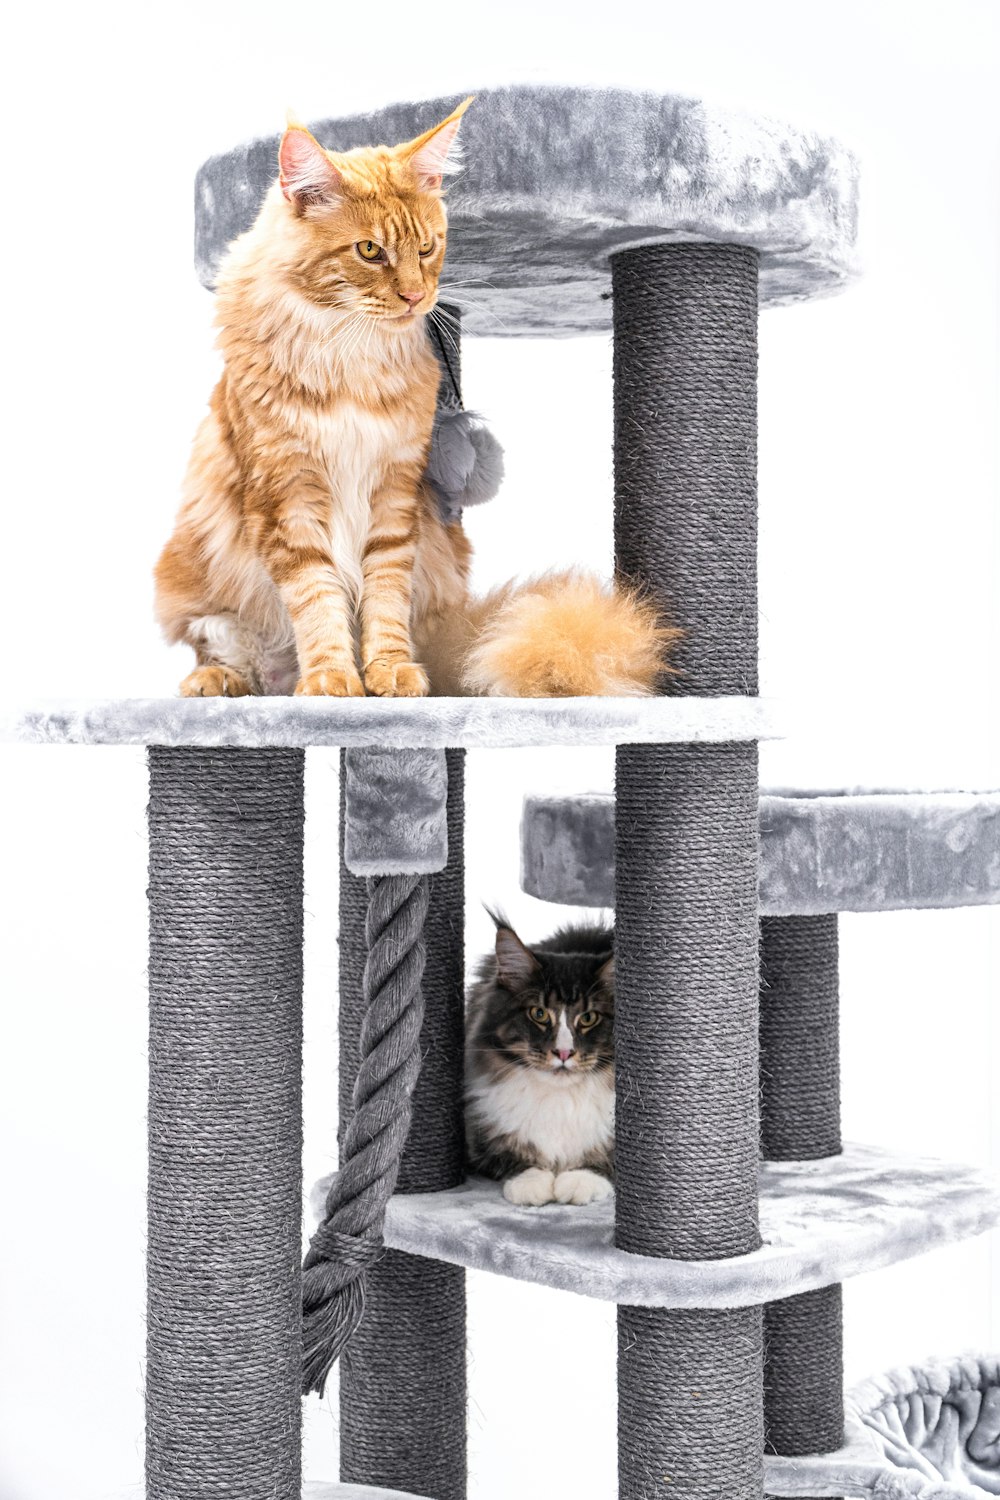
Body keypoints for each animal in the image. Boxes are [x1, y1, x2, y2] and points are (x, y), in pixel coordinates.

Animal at [156, 99, 677, 696]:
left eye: (427, 248)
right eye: (369, 251)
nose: (415, 296)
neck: (350, 355)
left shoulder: (394, 492)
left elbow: (384, 596)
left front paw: (388, 671)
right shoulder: (287, 493)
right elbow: (316, 597)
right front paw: (332, 677)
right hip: (194, 576)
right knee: (229, 649)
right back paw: (224, 680)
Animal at [464, 912, 614, 1206]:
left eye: (589, 1018)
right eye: (539, 1014)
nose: (564, 1053)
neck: (562, 1100)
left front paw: (580, 1181)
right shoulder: (479, 1134)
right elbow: (516, 1161)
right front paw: (531, 1185)